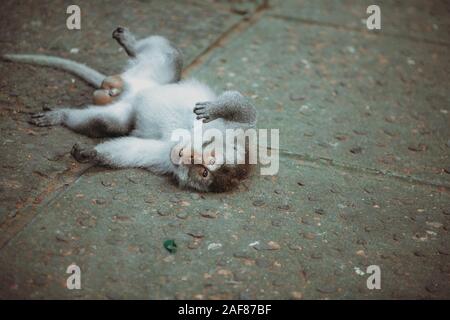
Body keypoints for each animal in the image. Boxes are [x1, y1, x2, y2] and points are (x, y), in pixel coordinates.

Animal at [2, 27, 256, 191]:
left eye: (203, 172)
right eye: (208, 157)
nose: (187, 157)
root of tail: (128, 88)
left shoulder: (168, 160)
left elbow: (134, 150)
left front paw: (91, 154)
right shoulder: (234, 131)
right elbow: (245, 111)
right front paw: (214, 108)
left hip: (125, 106)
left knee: (110, 123)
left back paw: (65, 116)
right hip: (155, 74)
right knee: (173, 56)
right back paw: (131, 45)